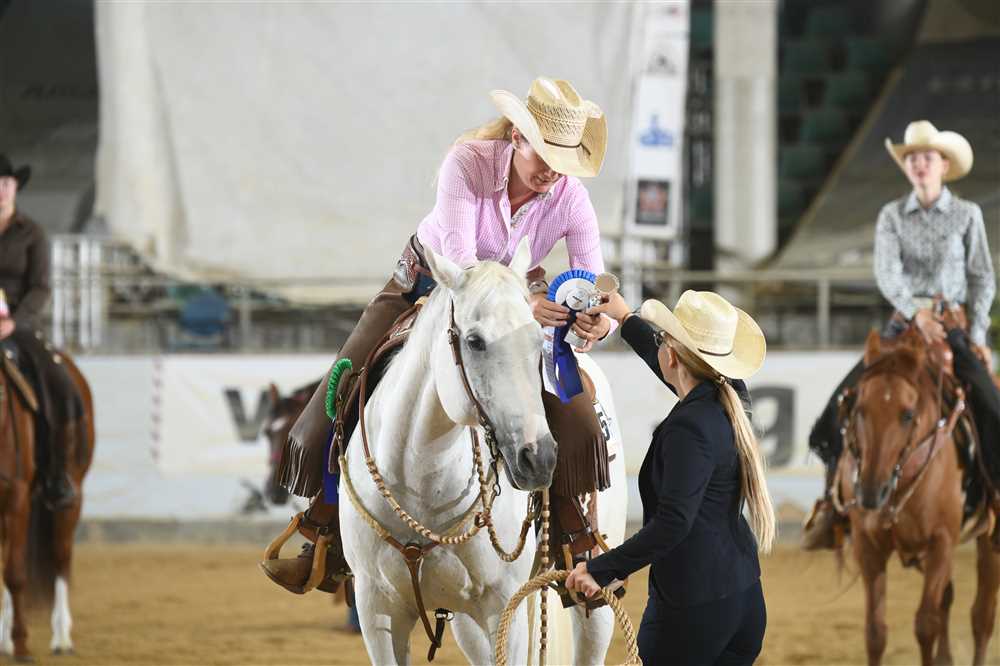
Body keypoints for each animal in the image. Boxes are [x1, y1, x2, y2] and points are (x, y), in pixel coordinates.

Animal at [0, 351, 95, 661]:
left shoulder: (16, 497)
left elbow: (16, 574)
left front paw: (22, 646)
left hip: (71, 494)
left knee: (60, 557)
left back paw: (62, 638)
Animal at [340, 238, 626, 665]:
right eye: (474, 341)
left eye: (535, 340)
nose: (539, 458)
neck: (423, 486)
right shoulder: (377, 610)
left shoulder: (503, 607)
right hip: (466, 623)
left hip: (592, 595)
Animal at [835, 328, 1000, 666]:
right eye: (860, 409)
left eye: (908, 414)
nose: (870, 492)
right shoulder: (868, 547)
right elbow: (875, 632)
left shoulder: (941, 542)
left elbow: (926, 625)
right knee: (949, 599)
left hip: (989, 541)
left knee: (982, 617)